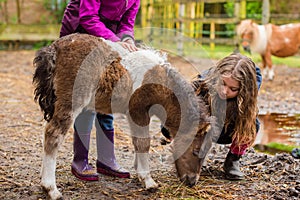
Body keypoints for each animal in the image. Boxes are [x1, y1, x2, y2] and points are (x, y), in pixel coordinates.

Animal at [32, 33, 211, 199]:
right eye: (196, 151)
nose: (192, 181)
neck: (158, 80)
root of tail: (55, 47)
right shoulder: (139, 111)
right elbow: (143, 143)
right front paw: (148, 181)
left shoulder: (133, 114)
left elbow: (136, 142)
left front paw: (139, 174)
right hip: (71, 102)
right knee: (53, 135)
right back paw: (51, 189)